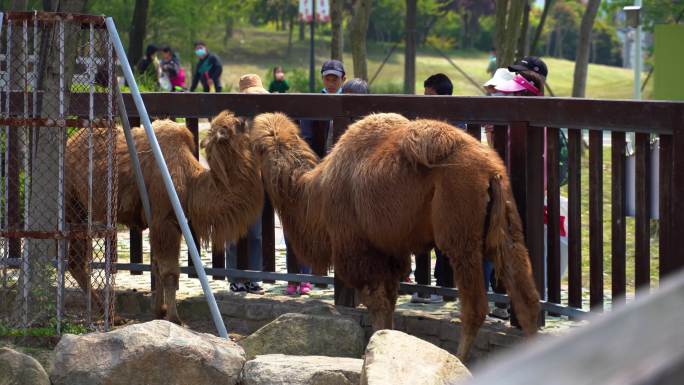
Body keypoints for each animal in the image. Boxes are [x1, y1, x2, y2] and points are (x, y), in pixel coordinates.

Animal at [66, 109, 264, 322]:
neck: (192, 181)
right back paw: (111, 316)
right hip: (74, 205)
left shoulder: (171, 222)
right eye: (240, 125)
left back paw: (110, 315)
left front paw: (159, 311)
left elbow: (157, 266)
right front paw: (174, 318)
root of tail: (69, 144)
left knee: (76, 263)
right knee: (77, 261)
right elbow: (169, 272)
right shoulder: (164, 220)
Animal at [251, 111, 540, 356]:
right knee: (527, 299)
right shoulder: (390, 251)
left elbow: (376, 303)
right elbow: (388, 301)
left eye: (255, 147)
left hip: (460, 231)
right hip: (507, 226)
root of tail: (491, 170)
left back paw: (460, 359)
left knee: (475, 307)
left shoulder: (359, 248)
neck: (317, 194)